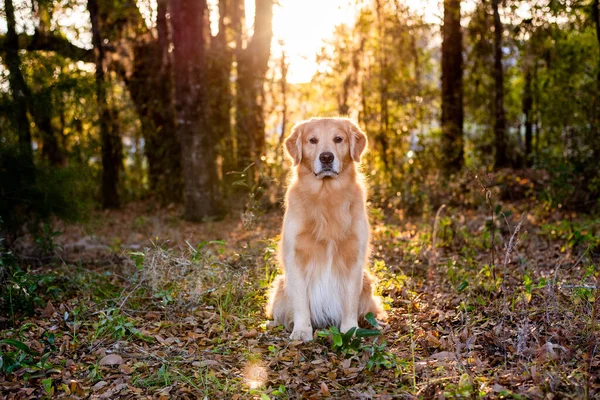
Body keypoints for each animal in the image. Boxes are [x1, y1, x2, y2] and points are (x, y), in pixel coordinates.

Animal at [266, 117, 384, 342]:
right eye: (312, 140)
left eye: (338, 139)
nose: (327, 157)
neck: (326, 195)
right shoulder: (295, 256)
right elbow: (301, 302)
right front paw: (301, 331)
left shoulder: (354, 257)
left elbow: (349, 302)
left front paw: (350, 330)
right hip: (281, 286)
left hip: (366, 281)